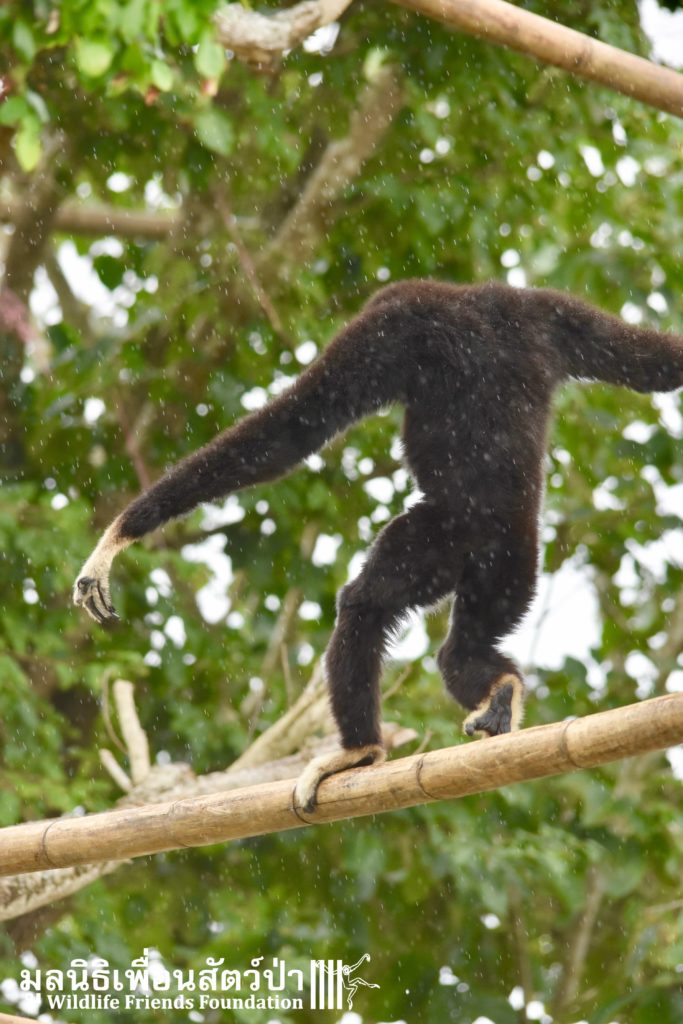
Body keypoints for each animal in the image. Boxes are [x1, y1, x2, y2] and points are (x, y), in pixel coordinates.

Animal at [73, 279, 683, 811]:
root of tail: (505, 530)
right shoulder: (543, 308)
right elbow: (648, 357)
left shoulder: (389, 331)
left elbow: (288, 433)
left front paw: (117, 535)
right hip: (511, 570)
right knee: (461, 650)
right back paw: (500, 693)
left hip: (437, 540)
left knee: (365, 606)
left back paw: (360, 752)